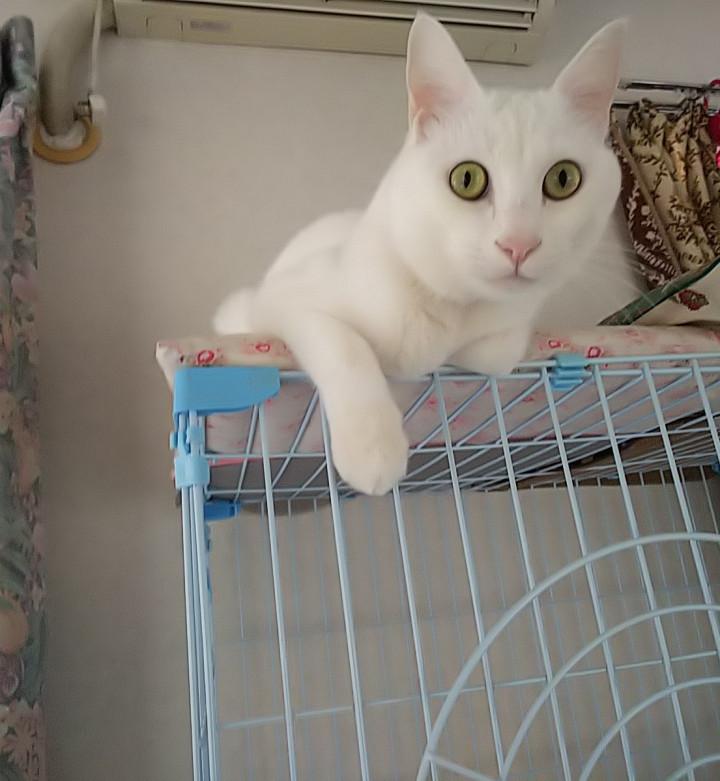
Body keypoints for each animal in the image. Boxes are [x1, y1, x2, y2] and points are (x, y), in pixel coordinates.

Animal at [213, 14, 638, 495]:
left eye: (563, 178)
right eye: (467, 179)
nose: (519, 243)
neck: (446, 306)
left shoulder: (502, 334)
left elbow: (494, 355)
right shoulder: (274, 302)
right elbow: (344, 344)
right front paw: (373, 447)